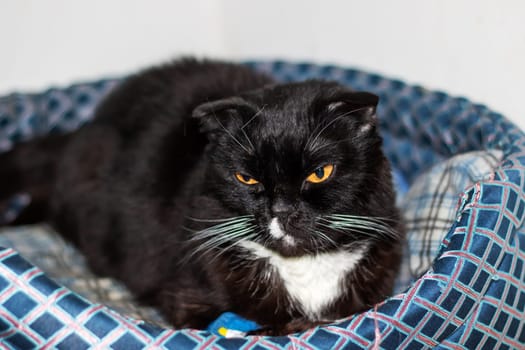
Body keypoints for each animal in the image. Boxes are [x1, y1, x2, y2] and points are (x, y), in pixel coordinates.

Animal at [0, 58, 404, 334]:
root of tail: (85, 127)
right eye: (246, 178)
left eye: (319, 173)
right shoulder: (187, 295)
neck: (303, 267)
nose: (281, 209)